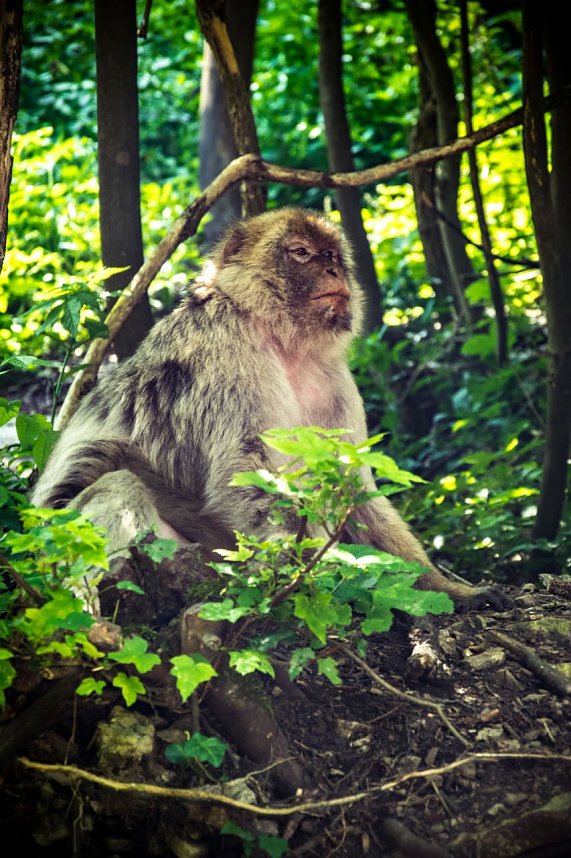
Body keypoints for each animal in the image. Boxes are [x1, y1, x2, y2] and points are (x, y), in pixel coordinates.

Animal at [31, 207, 506, 610]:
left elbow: (348, 485)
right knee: (116, 485)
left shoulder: (333, 378)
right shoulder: (225, 349)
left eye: (331, 255)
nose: (334, 270)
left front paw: (444, 588)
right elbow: (243, 467)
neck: (282, 339)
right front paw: (305, 574)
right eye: (301, 253)